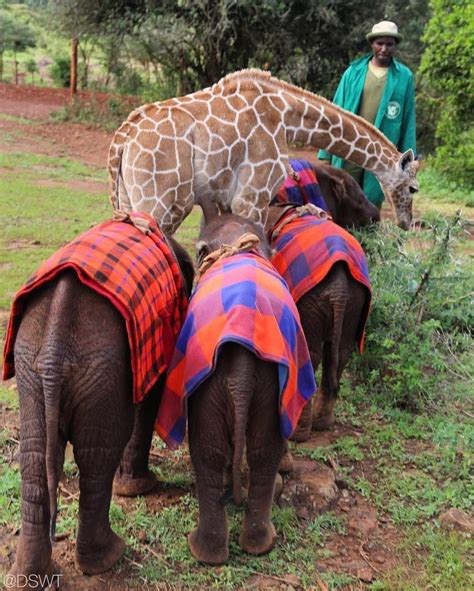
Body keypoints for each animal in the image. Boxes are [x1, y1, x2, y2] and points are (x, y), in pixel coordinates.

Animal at [2, 212, 193, 584]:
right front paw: (139, 487)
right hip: (101, 365)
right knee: (96, 455)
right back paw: (107, 558)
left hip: (33, 362)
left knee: (36, 455)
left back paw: (29, 577)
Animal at [107, 67, 418, 234]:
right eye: (414, 188)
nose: (405, 221)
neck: (286, 116)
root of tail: (122, 139)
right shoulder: (251, 197)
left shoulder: (224, 200)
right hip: (162, 201)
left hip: (128, 198)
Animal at [156, 213, 316, 564]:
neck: (237, 245)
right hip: (265, 382)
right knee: (260, 450)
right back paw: (256, 544)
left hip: (220, 382)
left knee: (211, 451)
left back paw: (206, 550)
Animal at [266, 205, 370, 444]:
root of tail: (340, 288)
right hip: (354, 300)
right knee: (340, 352)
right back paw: (322, 423)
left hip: (312, 301)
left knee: (310, 354)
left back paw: (297, 435)